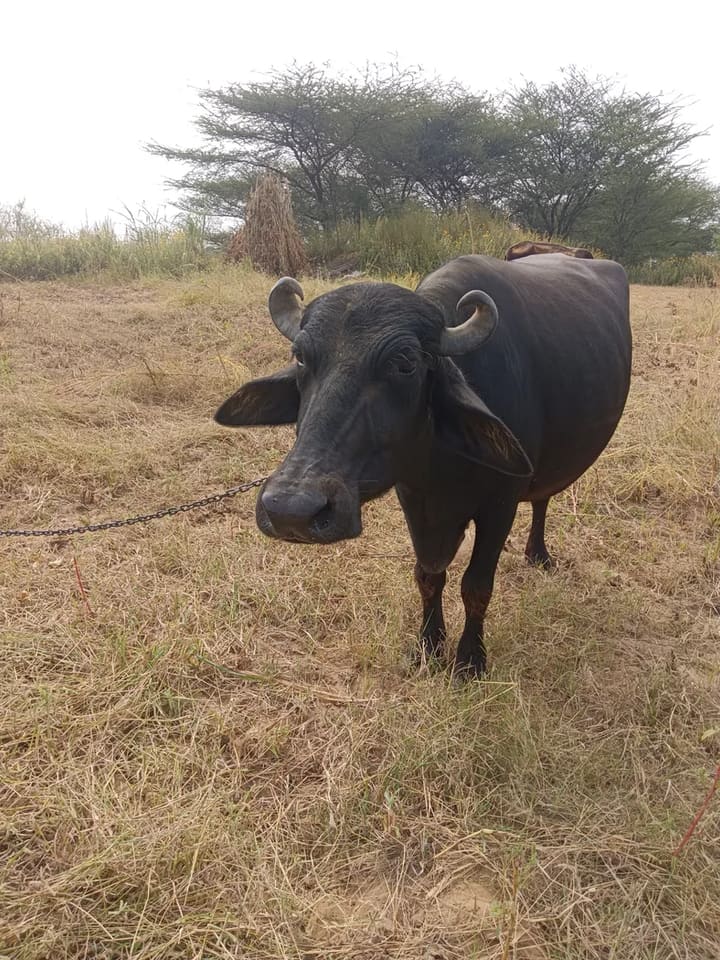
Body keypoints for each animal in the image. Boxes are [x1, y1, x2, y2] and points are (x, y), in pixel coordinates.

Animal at [216, 253, 631, 677]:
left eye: (405, 364)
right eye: (300, 356)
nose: (291, 512)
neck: (440, 467)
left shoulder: (500, 506)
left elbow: (476, 585)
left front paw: (470, 659)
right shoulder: (414, 500)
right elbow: (428, 576)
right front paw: (429, 645)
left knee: (542, 498)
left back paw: (539, 554)